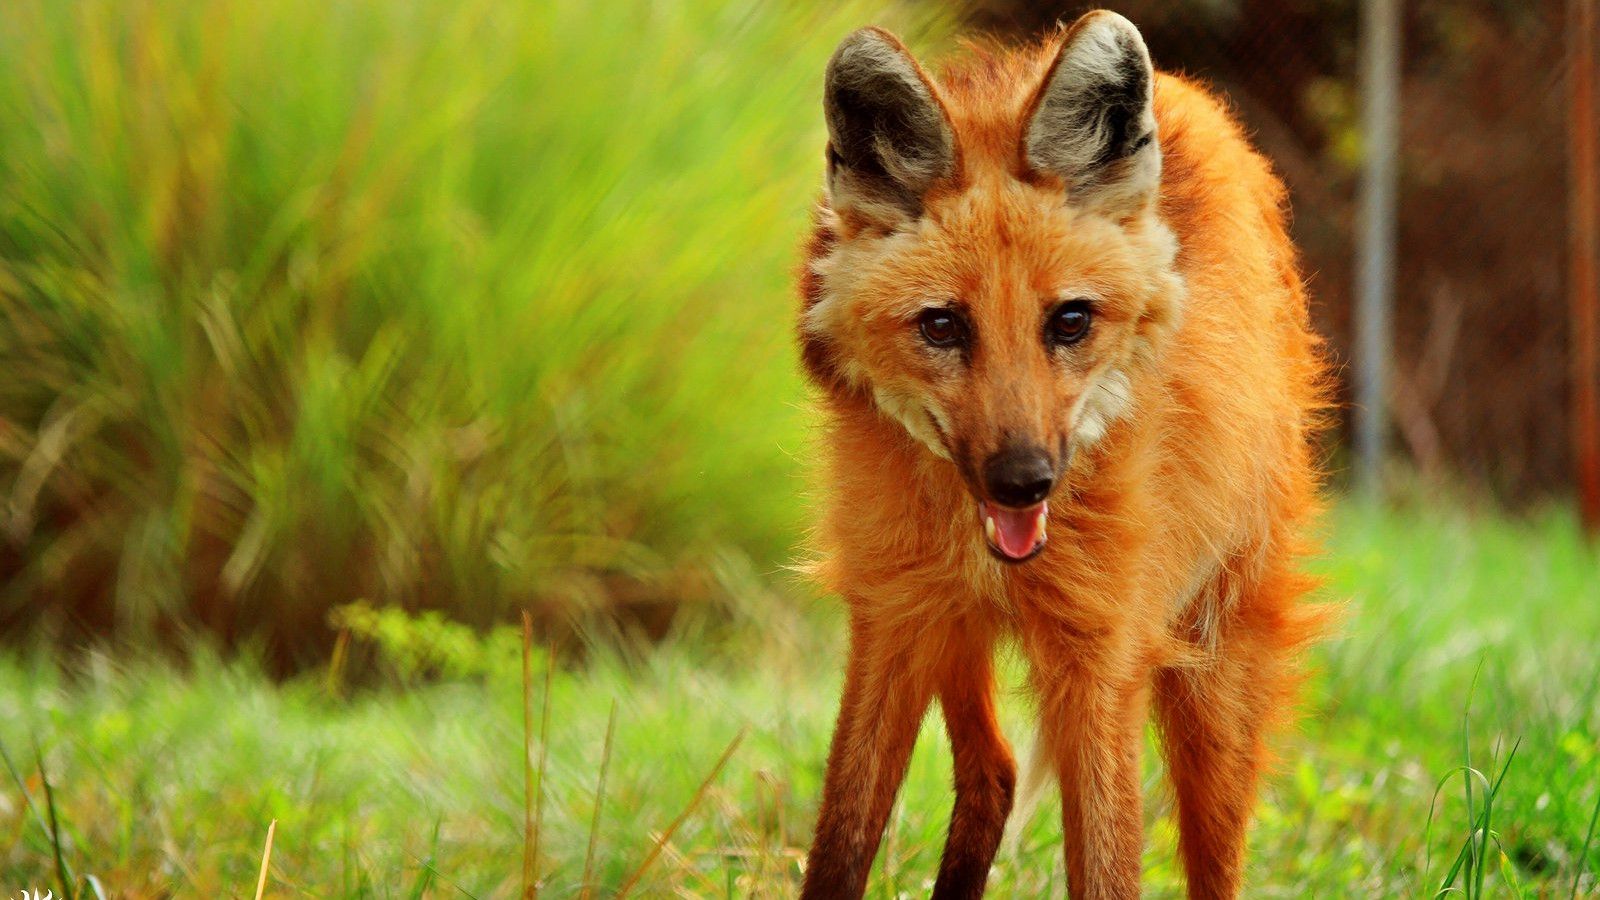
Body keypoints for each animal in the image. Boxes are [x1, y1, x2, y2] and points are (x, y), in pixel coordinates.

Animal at [794, 10, 1329, 899]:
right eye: (943, 326)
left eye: (1070, 321)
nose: (1023, 480)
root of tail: (1186, 92)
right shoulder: (895, 616)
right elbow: (840, 847)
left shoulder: (1102, 660)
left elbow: (1108, 869)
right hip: (952, 628)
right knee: (995, 771)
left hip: (1217, 681)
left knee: (1211, 856)